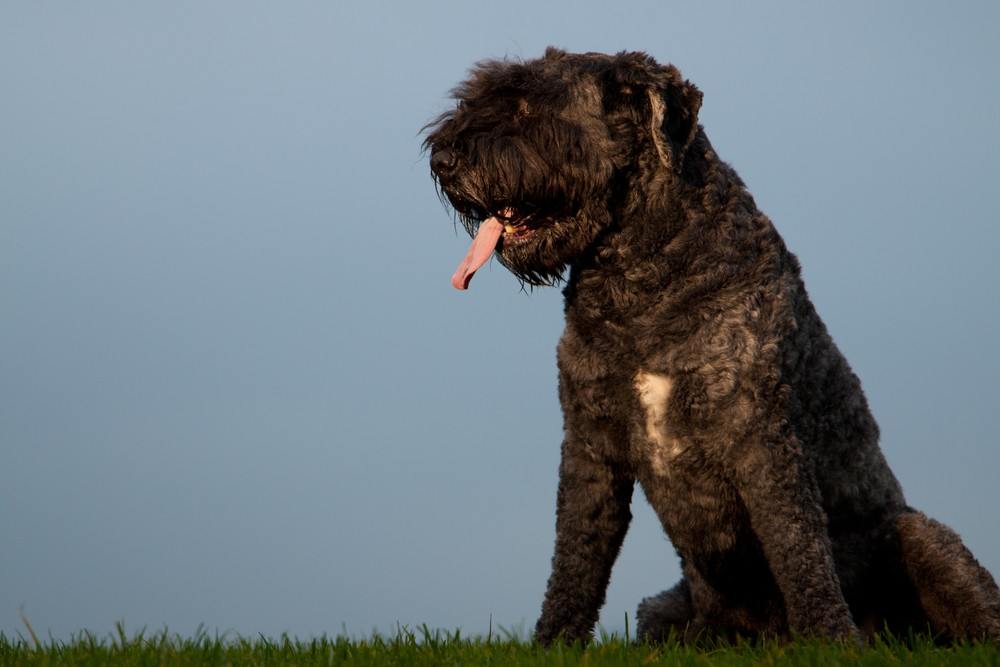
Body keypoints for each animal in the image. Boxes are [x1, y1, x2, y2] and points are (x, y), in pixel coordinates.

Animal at [422, 48, 1000, 648]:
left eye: (530, 105)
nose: (443, 159)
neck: (645, 281)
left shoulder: (760, 434)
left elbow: (796, 543)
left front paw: (830, 639)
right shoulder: (590, 441)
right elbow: (576, 554)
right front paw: (554, 643)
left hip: (923, 539)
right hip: (661, 609)